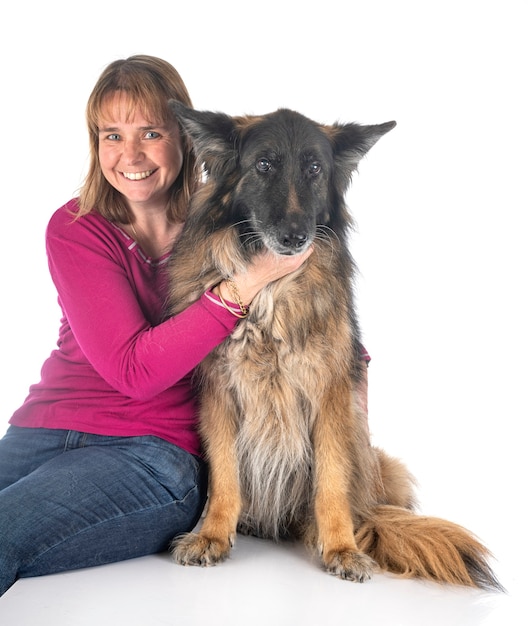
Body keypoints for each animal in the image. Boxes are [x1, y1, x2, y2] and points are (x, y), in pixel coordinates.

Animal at [167, 98, 502, 588]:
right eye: (264, 165)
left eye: (314, 169)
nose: (295, 237)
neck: (273, 292)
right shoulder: (219, 393)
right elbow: (226, 475)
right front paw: (211, 534)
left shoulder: (331, 395)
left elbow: (331, 479)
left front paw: (342, 547)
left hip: (383, 467)